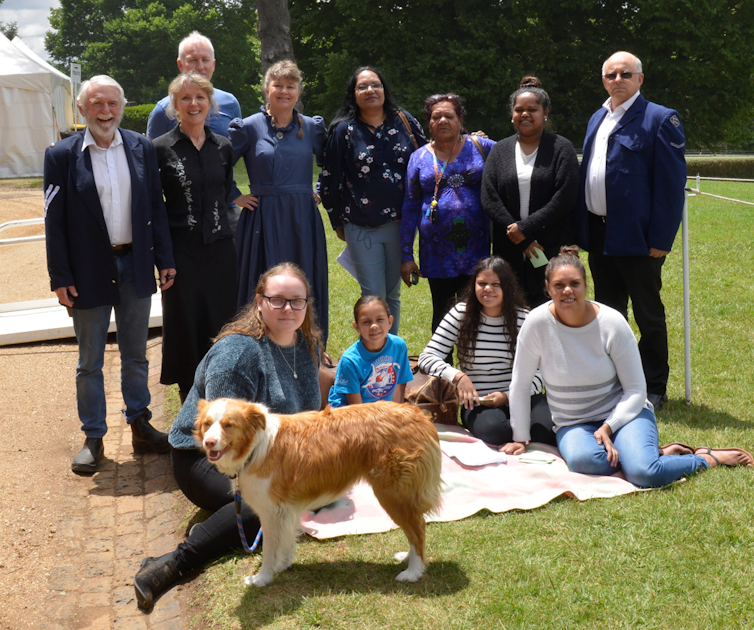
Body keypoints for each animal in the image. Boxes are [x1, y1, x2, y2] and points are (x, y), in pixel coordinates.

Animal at [192, 400, 440, 588]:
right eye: (207, 424)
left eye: (229, 425)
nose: (209, 442)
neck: (255, 447)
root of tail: (418, 414)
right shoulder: (285, 509)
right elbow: (286, 540)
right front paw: (283, 565)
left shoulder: (270, 511)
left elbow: (269, 549)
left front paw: (263, 578)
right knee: (414, 529)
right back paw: (407, 558)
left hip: (392, 493)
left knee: (418, 529)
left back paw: (413, 572)